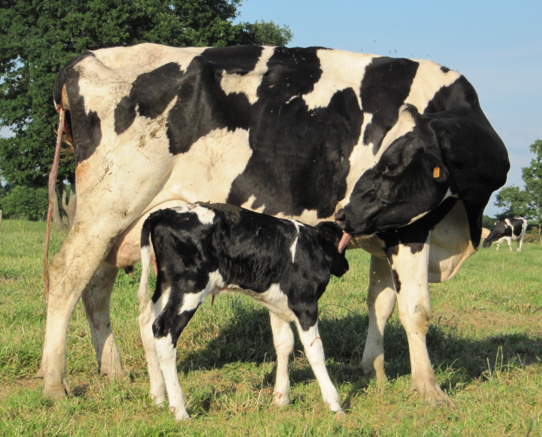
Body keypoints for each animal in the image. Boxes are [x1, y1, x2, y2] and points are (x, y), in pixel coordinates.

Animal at [138, 203, 350, 420]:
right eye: (341, 244)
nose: (346, 266)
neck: (313, 245)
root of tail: (166, 212)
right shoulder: (305, 303)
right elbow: (314, 349)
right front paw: (334, 404)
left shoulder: (277, 305)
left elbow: (284, 343)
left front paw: (281, 398)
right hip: (191, 286)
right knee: (164, 329)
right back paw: (180, 411)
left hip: (167, 283)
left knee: (147, 322)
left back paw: (158, 397)